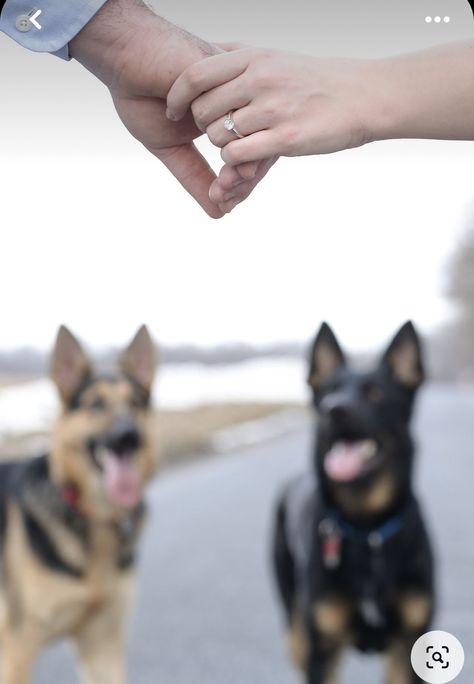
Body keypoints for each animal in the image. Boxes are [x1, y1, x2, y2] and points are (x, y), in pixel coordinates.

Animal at [0, 326, 159, 684]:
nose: (129, 436)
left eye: (135, 402)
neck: (93, 518)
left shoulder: (102, 644)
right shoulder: (15, 651)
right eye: (95, 404)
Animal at [274, 322, 434, 684]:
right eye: (328, 393)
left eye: (375, 393)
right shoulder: (322, 651)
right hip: (294, 620)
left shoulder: (410, 646)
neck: (368, 528)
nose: (334, 409)